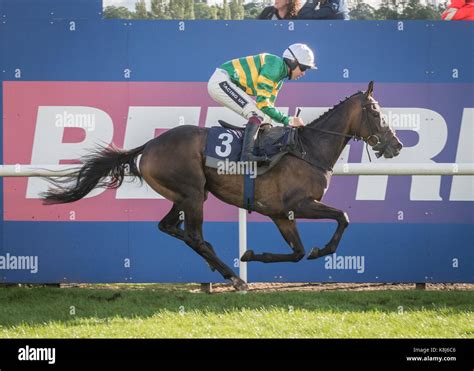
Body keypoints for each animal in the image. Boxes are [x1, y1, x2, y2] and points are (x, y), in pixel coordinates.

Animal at [42, 80, 402, 290]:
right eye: (375, 112)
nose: (396, 145)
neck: (308, 149)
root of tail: (150, 145)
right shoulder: (297, 205)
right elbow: (343, 217)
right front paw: (320, 250)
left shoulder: (280, 213)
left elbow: (298, 251)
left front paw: (254, 253)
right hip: (191, 195)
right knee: (193, 235)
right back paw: (233, 277)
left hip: (187, 195)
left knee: (170, 227)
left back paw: (223, 268)